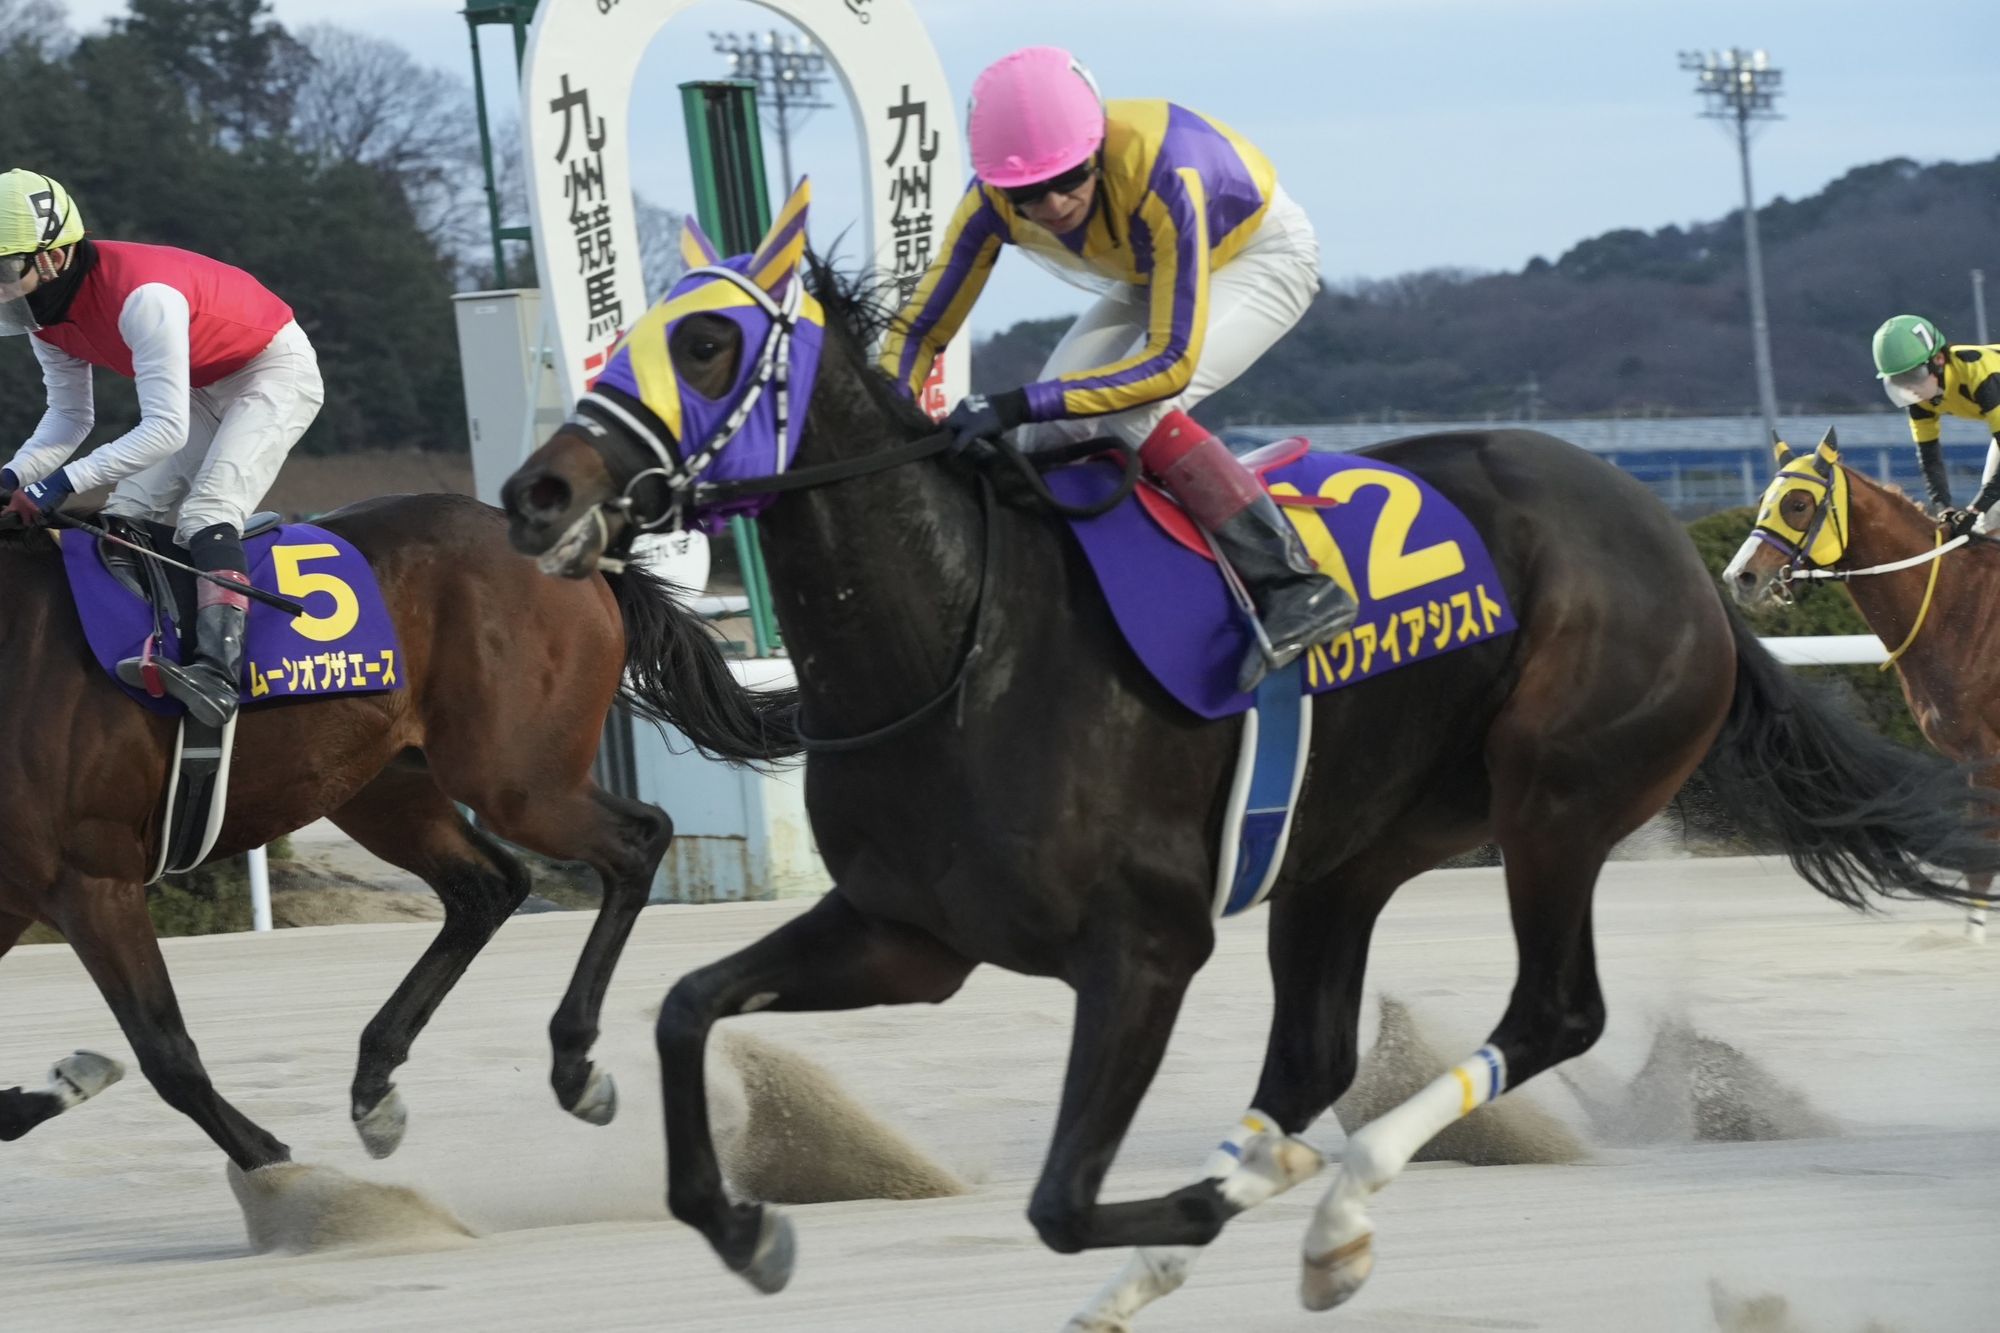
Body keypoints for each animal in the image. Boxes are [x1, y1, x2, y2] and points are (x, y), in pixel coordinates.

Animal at [0, 490, 796, 1184]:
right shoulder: (17, 898)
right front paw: (64, 1081)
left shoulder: (91, 877)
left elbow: (166, 1052)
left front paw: (283, 1169)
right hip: (387, 786)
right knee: (487, 887)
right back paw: (376, 1081)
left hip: (514, 777)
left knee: (636, 840)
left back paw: (573, 1066)